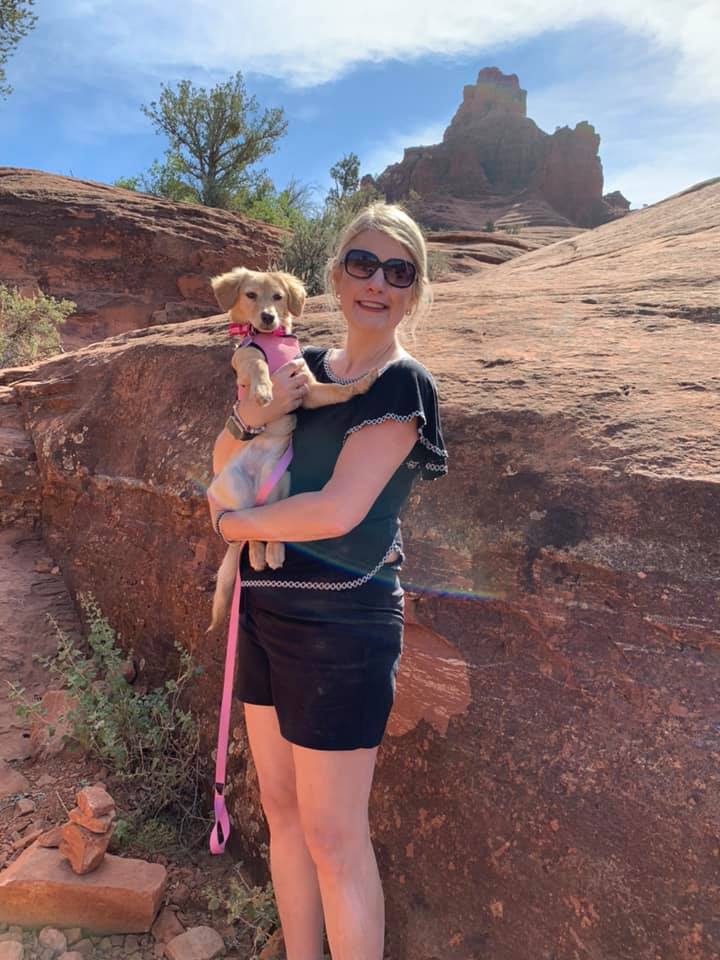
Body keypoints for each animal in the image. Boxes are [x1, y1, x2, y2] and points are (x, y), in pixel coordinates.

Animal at [205, 266, 380, 632]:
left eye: (279, 297)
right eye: (250, 295)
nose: (268, 317)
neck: (272, 339)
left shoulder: (307, 387)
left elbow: (336, 390)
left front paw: (363, 382)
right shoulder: (245, 358)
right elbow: (257, 363)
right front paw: (264, 391)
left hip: (282, 482)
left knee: (270, 525)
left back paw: (273, 553)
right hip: (238, 490)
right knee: (247, 530)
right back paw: (259, 556)